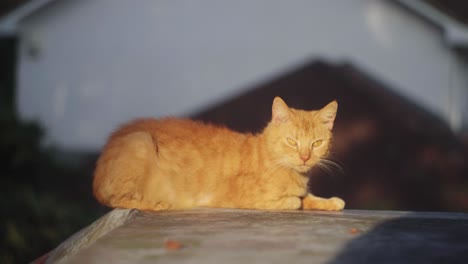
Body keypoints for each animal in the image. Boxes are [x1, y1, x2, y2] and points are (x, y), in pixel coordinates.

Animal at [93, 96, 346, 210]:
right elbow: (294, 201)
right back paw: (158, 205)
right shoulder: (244, 199)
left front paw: (330, 202)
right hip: (141, 140)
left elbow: (308, 198)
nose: (305, 157)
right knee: (117, 199)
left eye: (316, 143)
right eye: (292, 142)